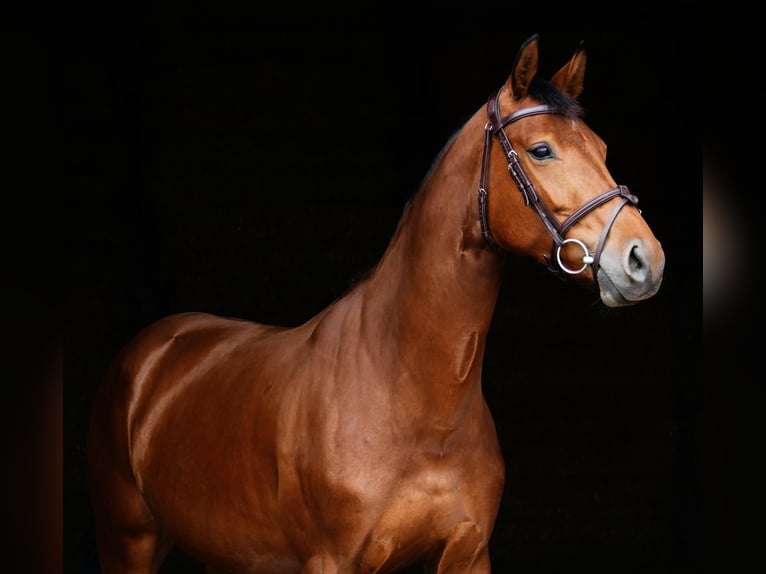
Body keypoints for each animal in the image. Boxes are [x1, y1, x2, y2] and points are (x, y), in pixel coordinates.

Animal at [87, 34, 665, 573]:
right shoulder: (332, 561)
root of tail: (155, 349)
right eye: (541, 150)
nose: (644, 259)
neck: (414, 401)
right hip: (128, 542)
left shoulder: (468, 556)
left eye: (602, 148)